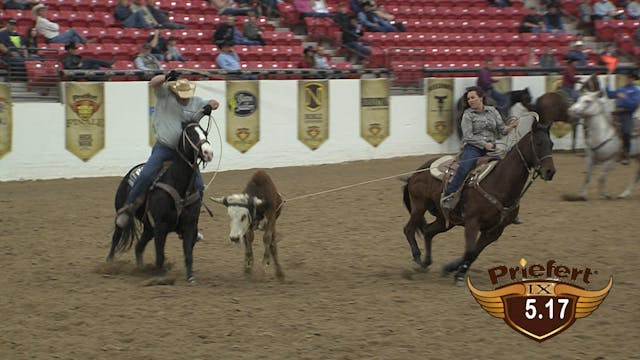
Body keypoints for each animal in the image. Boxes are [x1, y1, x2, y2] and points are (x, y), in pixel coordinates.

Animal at [400, 115, 556, 284]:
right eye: (538, 143)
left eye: (551, 144)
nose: (550, 171)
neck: (500, 183)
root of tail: (415, 173)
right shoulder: (472, 223)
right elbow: (469, 251)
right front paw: (457, 274)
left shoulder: (495, 230)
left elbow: (474, 253)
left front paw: (452, 269)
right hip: (419, 205)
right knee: (408, 229)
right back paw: (417, 260)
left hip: (446, 219)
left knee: (428, 232)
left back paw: (425, 262)